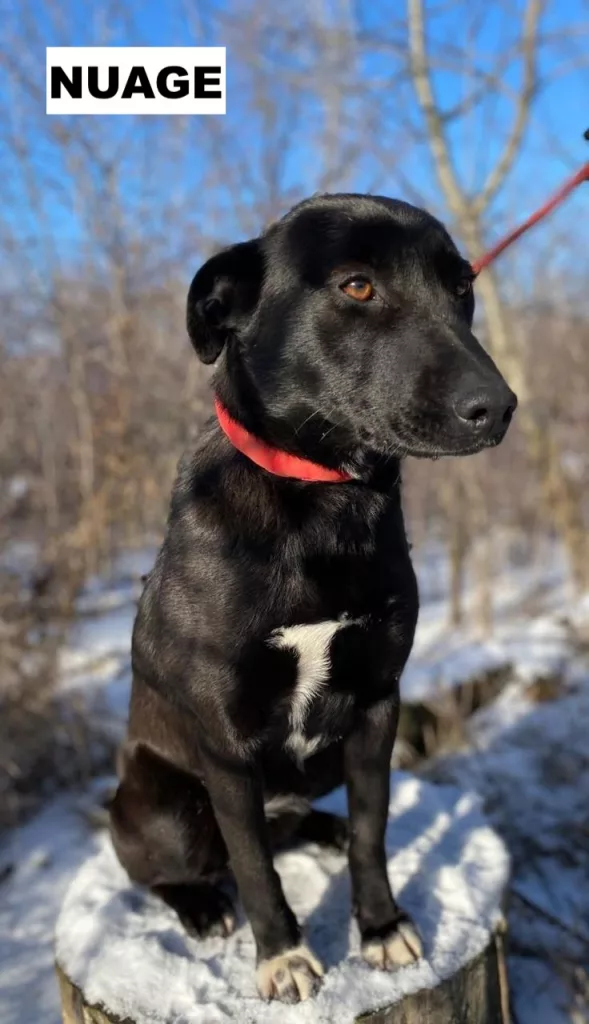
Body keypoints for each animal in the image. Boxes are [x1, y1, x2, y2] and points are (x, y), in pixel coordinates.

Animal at [110, 193, 516, 1004]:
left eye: (462, 287)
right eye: (356, 286)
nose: (498, 407)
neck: (323, 500)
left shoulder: (378, 704)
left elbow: (372, 830)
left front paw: (382, 927)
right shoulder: (226, 744)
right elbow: (254, 867)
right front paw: (283, 956)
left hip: (321, 761)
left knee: (305, 821)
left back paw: (320, 830)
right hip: (163, 805)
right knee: (168, 870)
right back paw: (200, 906)